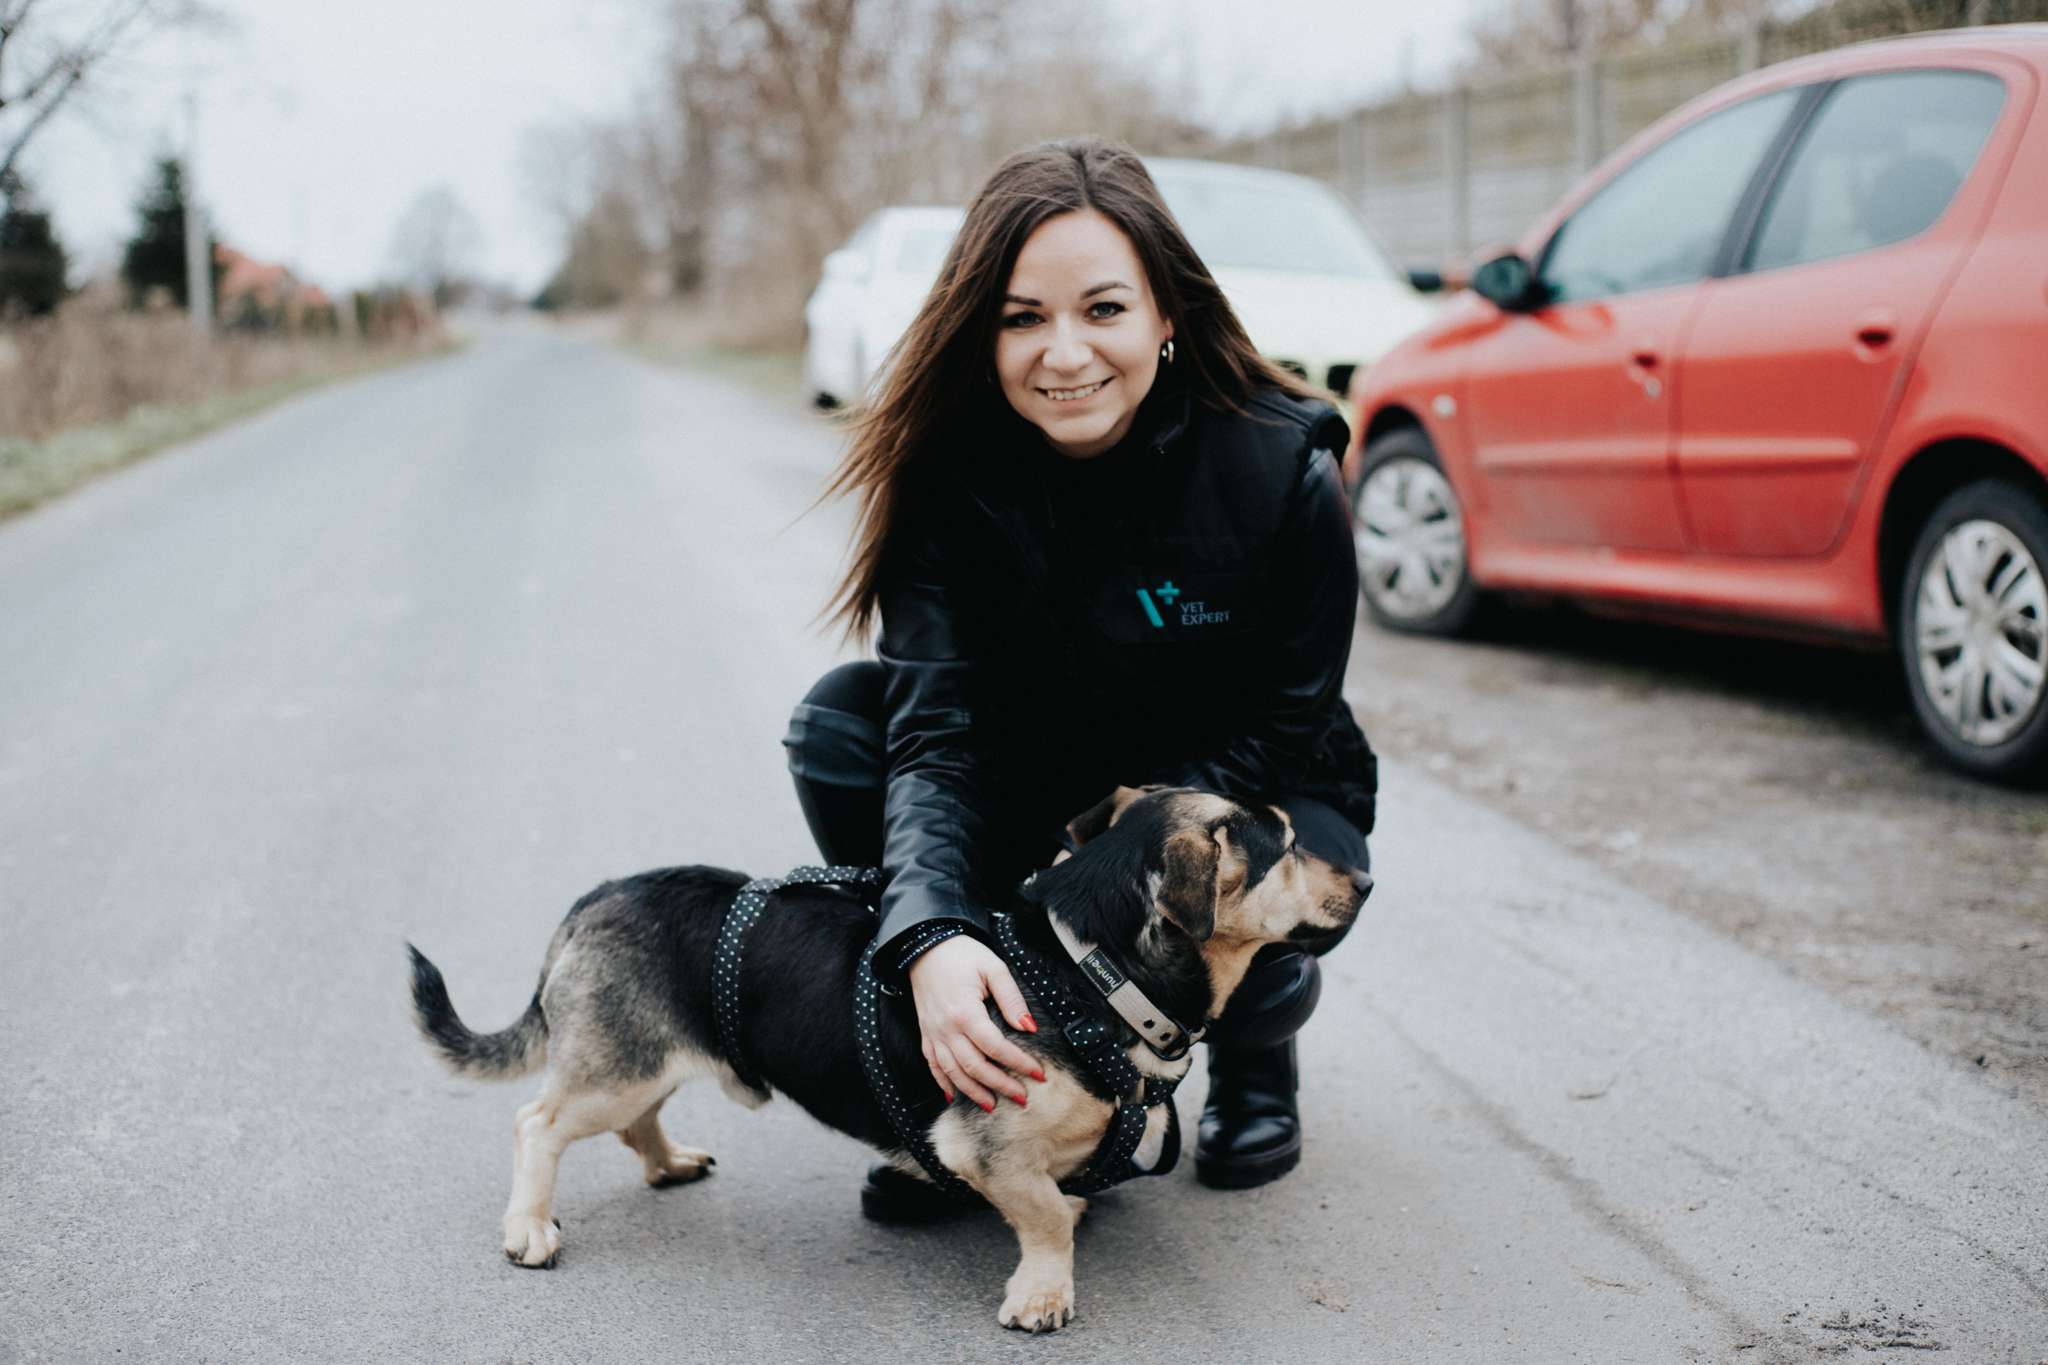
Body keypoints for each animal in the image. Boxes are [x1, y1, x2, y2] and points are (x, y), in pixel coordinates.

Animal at [405, 785, 1370, 1332]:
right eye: (1288, 846)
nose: (1365, 880)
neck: (1087, 968)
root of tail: (593, 898)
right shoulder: (978, 1144)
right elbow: (1045, 1219)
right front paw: (1042, 1294)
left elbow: (1054, 1198)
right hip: (615, 1067)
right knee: (537, 1122)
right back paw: (529, 1226)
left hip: (643, 1061)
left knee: (633, 1120)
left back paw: (668, 1162)